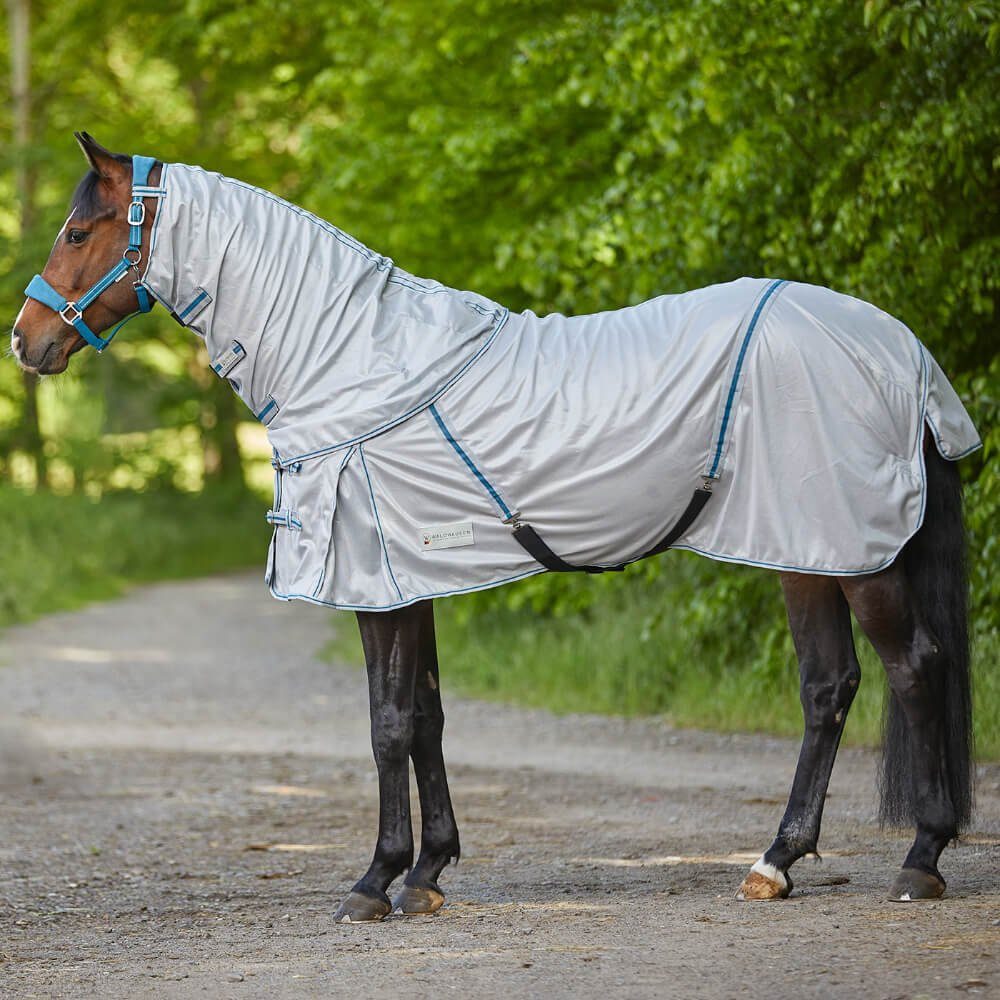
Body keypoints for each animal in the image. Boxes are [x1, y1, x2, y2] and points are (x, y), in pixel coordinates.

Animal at [9, 135, 976, 920]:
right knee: (828, 688)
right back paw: (775, 864)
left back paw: (920, 859)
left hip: (854, 551)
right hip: (803, 547)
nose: (24, 341)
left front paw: (375, 882)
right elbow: (429, 717)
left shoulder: (380, 587)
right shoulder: (412, 579)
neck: (352, 361)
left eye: (77, 232)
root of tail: (899, 347)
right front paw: (429, 874)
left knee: (915, 668)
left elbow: (388, 724)